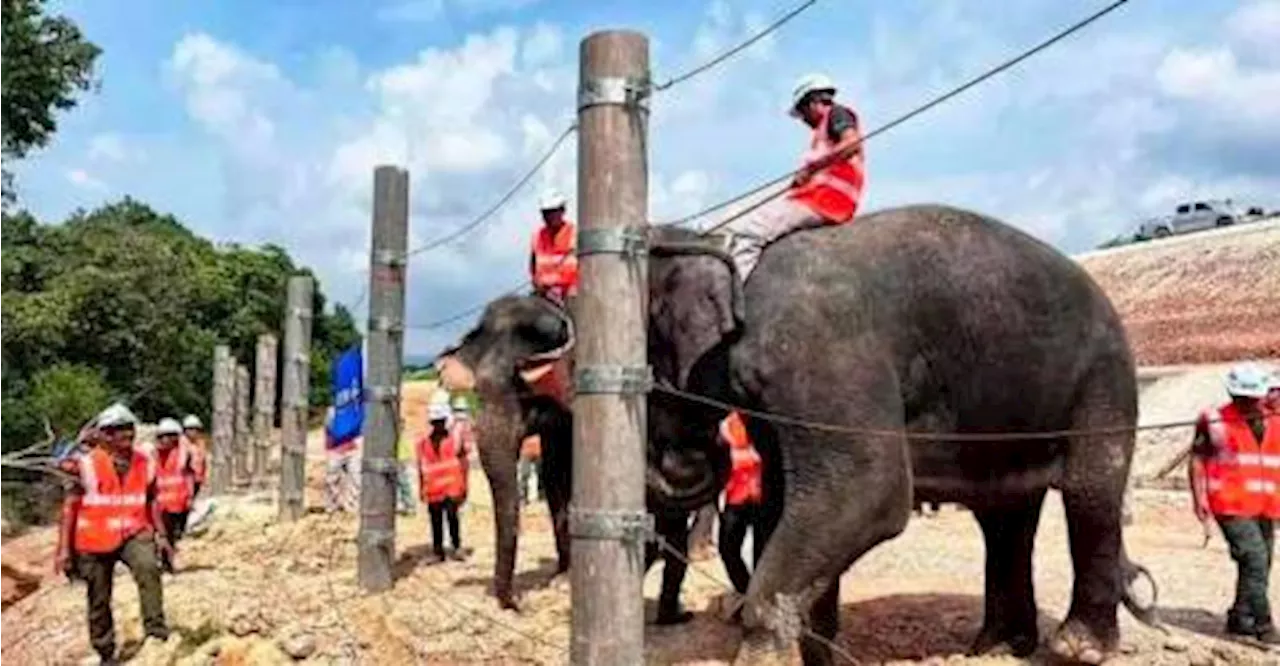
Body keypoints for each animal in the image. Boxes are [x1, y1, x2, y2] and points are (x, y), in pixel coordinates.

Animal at [442, 203, 1162, 666]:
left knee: (1090, 488)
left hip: (1105, 376)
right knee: (1005, 515)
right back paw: (996, 648)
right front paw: (819, 648)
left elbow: (868, 493)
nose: (686, 455)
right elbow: (790, 504)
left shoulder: (815, 349)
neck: (719, 246)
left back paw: (1074, 648)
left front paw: (761, 646)